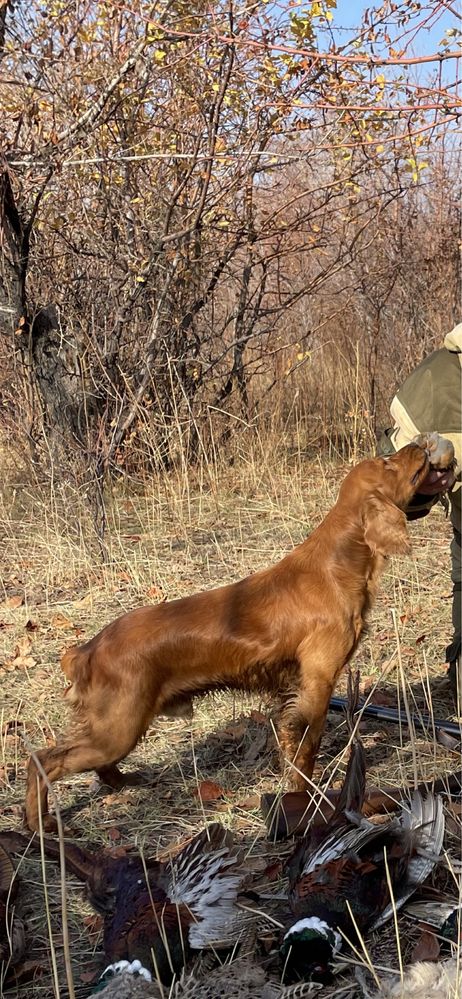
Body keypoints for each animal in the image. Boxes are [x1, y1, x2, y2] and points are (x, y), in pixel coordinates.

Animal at [24, 442, 430, 832]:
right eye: (388, 463)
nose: (421, 445)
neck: (335, 564)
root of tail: (88, 650)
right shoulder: (317, 681)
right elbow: (307, 747)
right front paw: (303, 798)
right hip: (118, 727)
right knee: (42, 760)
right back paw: (39, 824)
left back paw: (123, 782)